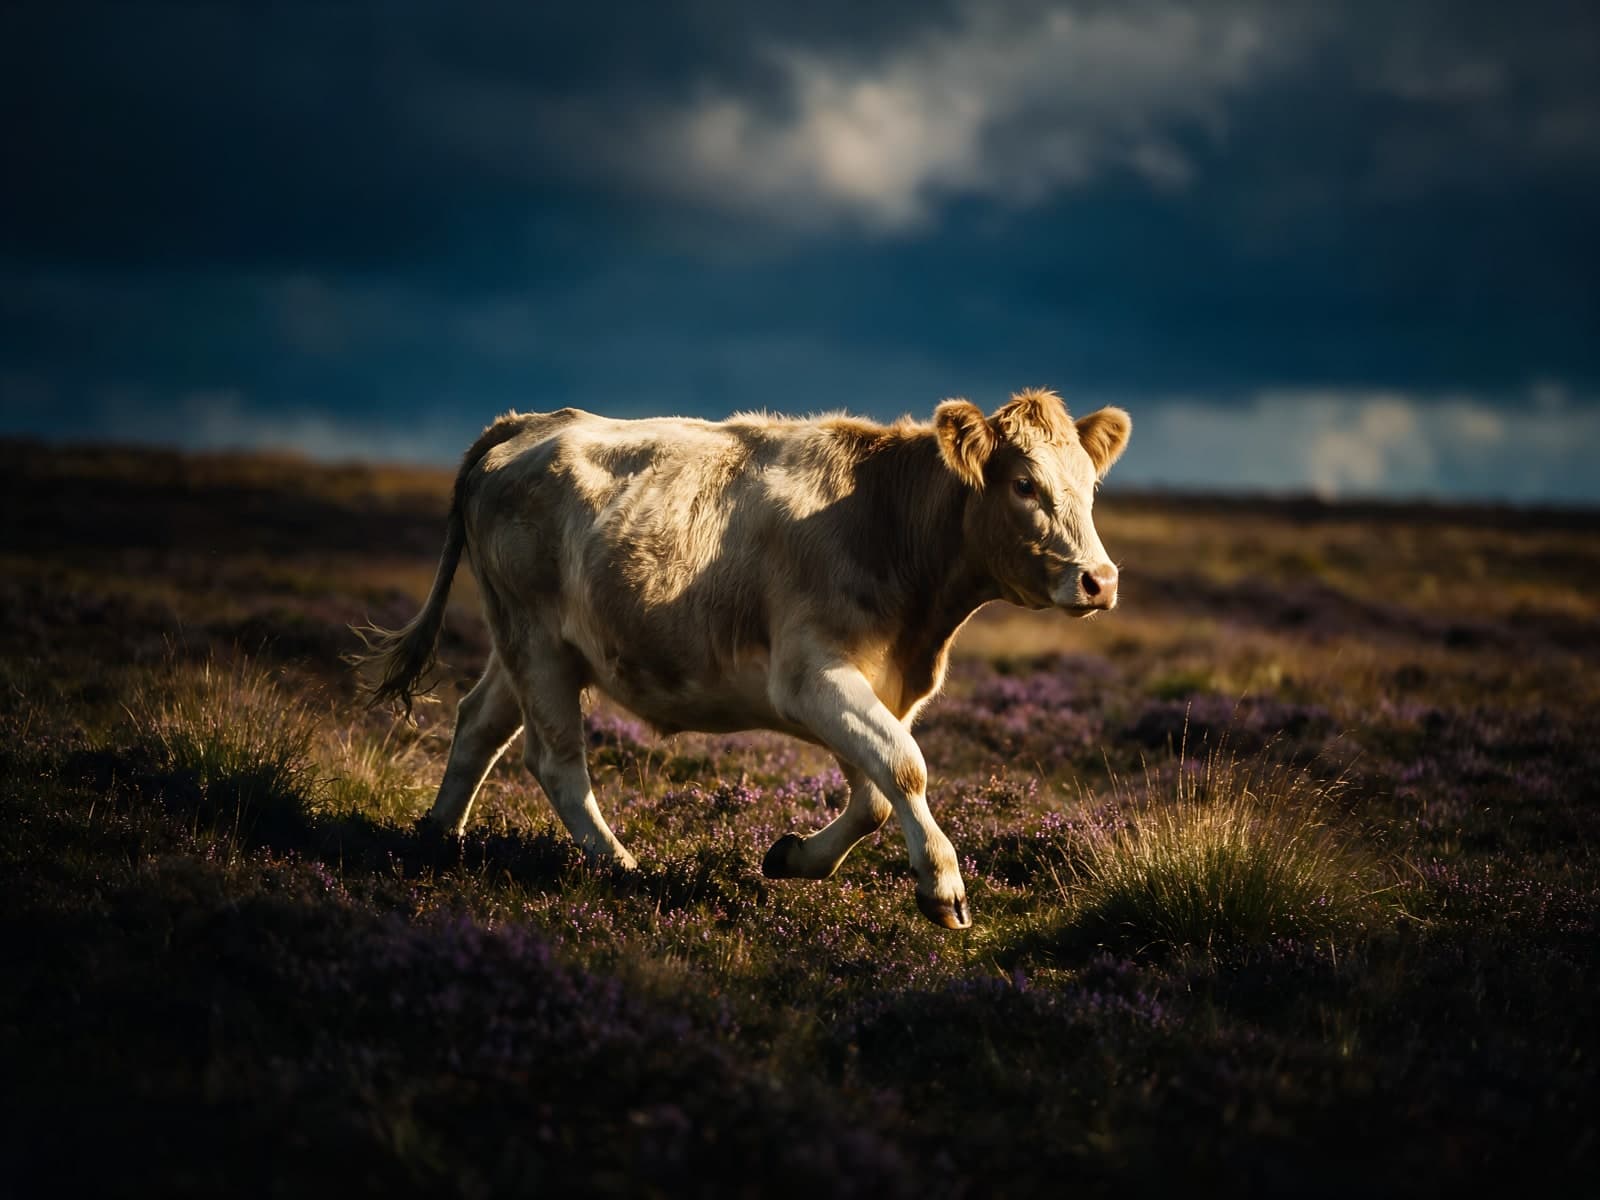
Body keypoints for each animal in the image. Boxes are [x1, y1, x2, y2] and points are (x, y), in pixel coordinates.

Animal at [359, 388, 1130, 928]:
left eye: (1091, 486)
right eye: (1024, 484)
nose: (1100, 579)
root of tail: (526, 422)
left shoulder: (868, 685)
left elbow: (877, 792)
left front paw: (794, 856)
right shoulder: (812, 674)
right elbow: (904, 766)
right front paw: (943, 887)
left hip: (529, 644)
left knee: (478, 724)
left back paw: (438, 842)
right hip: (537, 639)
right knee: (554, 760)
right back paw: (618, 864)